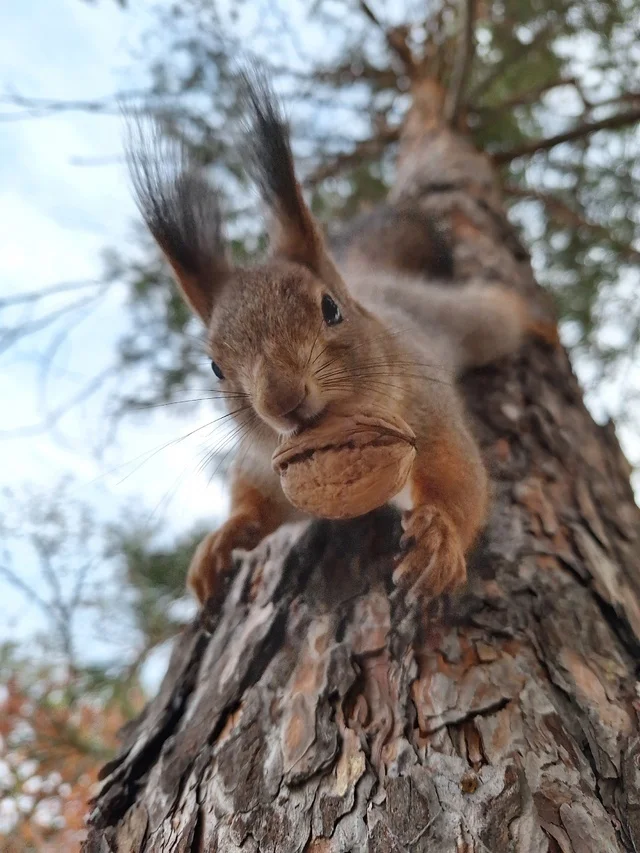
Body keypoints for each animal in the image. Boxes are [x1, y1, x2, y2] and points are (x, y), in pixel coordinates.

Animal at [125, 71, 556, 604]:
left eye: (330, 309)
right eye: (215, 367)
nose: (282, 400)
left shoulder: (427, 406)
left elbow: (456, 473)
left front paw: (440, 536)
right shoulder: (265, 464)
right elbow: (256, 506)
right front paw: (223, 538)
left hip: (464, 322)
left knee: (499, 312)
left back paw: (538, 324)